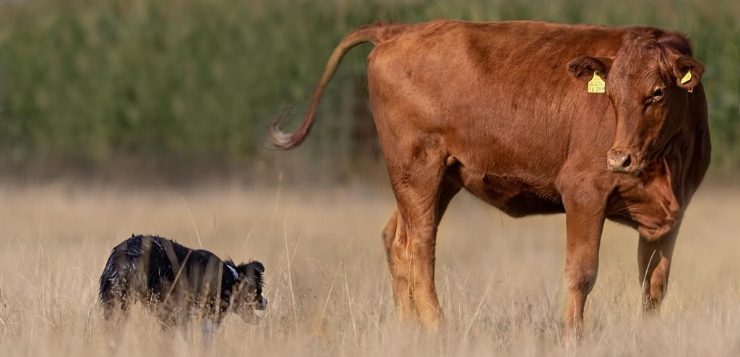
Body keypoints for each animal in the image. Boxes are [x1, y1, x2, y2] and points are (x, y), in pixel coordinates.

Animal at [268, 19, 712, 336]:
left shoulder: (668, 219)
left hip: (438, 180)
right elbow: (581, 273)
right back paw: (438, 329)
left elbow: (654, 285)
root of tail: (400, 30)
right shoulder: (584, 194)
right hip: (419, 170)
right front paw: (572, 337)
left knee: (395, 238)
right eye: (611, 96)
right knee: (419, 247)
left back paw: (409, 330)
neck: (665, 166)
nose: (620, 158)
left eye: (657, 92)